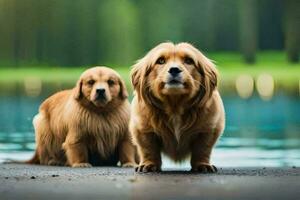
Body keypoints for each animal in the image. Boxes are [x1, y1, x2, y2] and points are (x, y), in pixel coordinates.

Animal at [129, 41, 225, 172]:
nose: (174, 69)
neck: (175, 106)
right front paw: (149, 164)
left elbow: (202, 149)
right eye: (161, 61)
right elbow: (148, 148)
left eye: (189, 61)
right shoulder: (143, 129)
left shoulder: (209, 129)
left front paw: (202, 165)